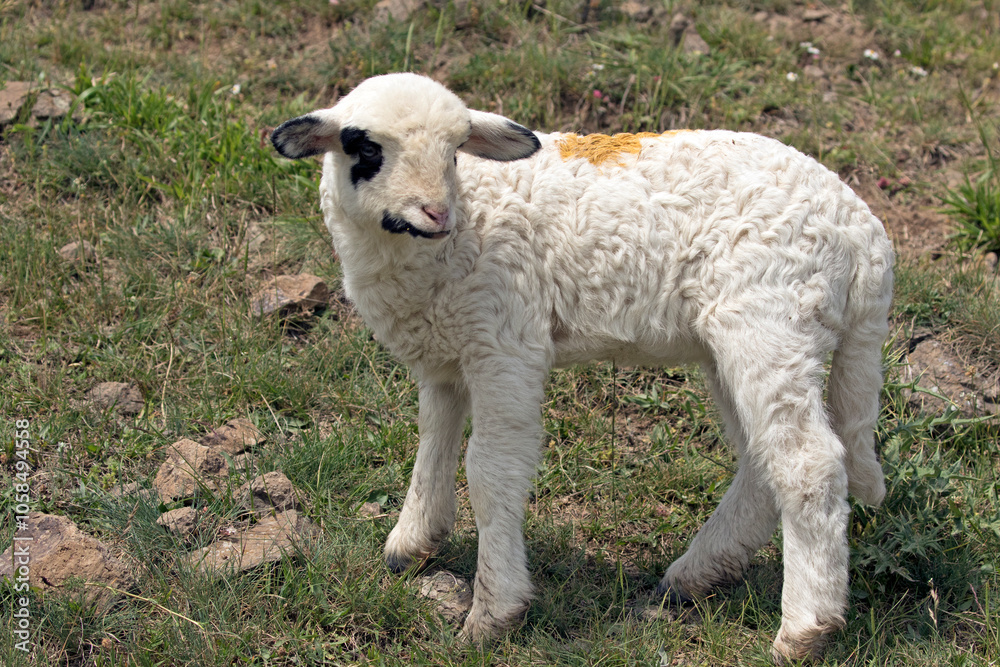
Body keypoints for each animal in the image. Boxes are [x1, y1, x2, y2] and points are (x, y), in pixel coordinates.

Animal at [270, 72, 894, 663]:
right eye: (364, 147)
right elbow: (432, 444)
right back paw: (695, 576)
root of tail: (866, 235)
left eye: (455, 152)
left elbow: (492, 470)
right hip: (735, 339)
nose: (436, 212)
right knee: (764, 462)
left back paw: (804, 629)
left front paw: (493, 613)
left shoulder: (505, 340)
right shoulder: (447, 350)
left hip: (772, 318)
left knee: (809, 463)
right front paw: (412, 541)